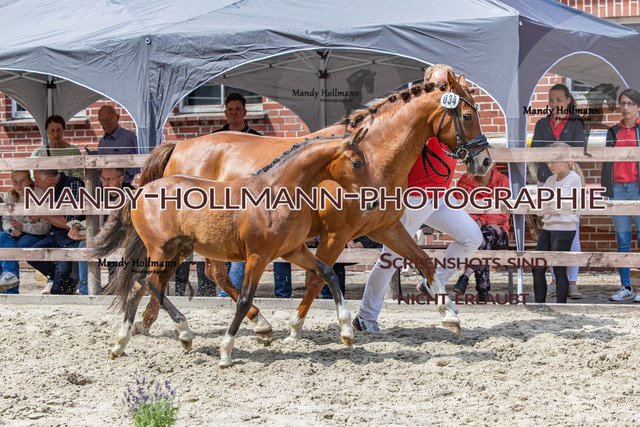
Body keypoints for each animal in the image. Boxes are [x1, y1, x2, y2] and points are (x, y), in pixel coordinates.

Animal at [94, 129, 375, 367]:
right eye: (356, 163)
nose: (372, 203)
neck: (277, 192)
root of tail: (140, 191)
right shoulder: (257, 257)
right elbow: (243, 300)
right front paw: (226, 352)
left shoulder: (294, 251)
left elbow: (328, 273)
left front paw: (347, 332)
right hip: (161, 251)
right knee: (147, 282)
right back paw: (184, 332)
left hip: (176, 252)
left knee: (139, 288)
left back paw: (121, 344)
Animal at [129, 71, 491, 342]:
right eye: (468, 115)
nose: (485, 161)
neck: (372, 154)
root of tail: (177, 147)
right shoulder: (335, 234)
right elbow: (320, 278)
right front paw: (297, 327)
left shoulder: (384, 228)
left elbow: (423, 261)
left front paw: (450, 315)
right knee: (194, 275)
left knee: (197, 274)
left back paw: (150, 322)